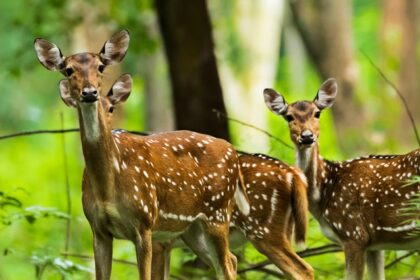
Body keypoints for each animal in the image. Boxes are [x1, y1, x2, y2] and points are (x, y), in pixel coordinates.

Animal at [34, 30, 249, 280]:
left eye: (100, 66)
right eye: (68, 69)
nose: (89, 92)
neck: (107, 187)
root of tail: (233, 152)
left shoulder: (144, 223)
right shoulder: (98, 229)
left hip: (218, 213)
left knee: (227, 265)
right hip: (193, 229)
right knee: (230, 261)